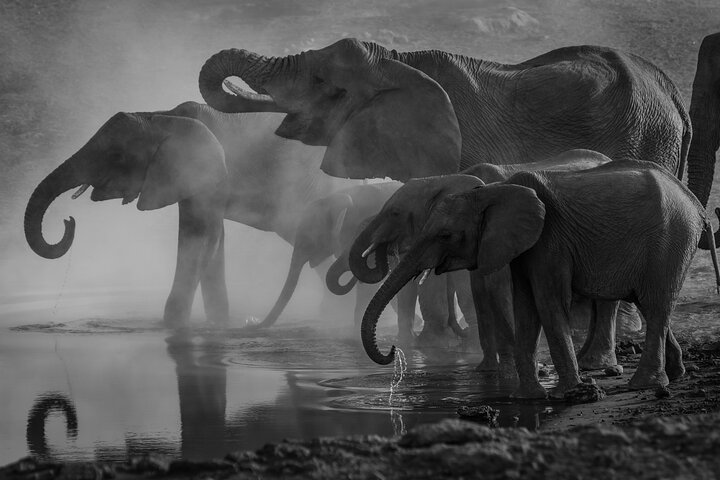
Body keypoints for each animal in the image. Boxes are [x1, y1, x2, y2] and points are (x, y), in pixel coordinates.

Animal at [24, 101, 362, 326]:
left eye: (116, 155)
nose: (68, 221)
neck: (161, 115)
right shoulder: (188, 178)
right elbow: (210, 241)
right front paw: (218, 325)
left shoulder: (207, 170)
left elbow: (201, 240)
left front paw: (173, 328)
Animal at [360, 158, 719, 398]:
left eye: (445, 235)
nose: (393, 350)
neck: (491, 192)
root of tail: (696, 204)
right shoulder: (519, 244)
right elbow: (525, 305)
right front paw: (529, 396)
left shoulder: (551, 239)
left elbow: (547, 301)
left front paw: (569, 393)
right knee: (650, 303)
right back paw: (675, 373)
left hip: (671, 240)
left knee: (656, 304)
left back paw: (644, 384)